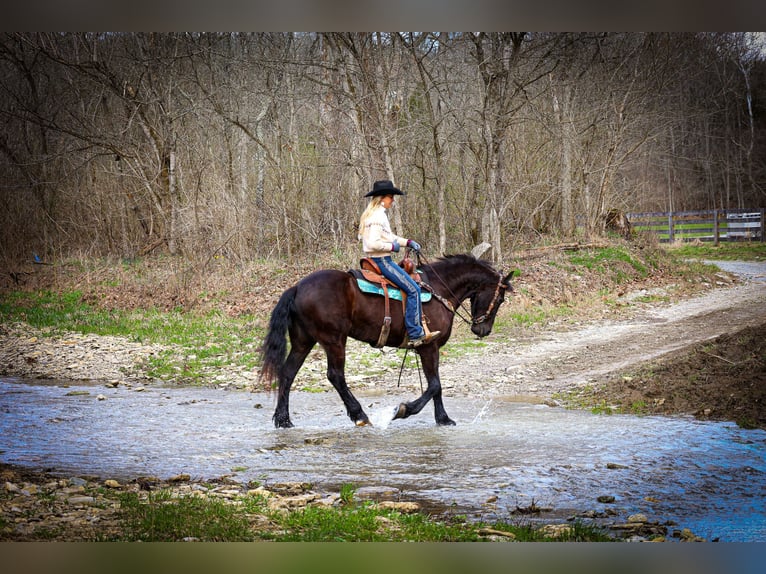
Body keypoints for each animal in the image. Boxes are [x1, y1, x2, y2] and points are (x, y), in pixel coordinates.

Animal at [260, 254, 516, 430]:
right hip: (334, 340)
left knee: (287, 373)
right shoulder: (428, 347)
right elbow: (435, 385)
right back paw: (360, 415)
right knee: (335, 376)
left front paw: (443, 419)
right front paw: (403, 410)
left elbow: (436, 384)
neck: (439, 289)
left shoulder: (429, 349)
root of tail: (298, 287)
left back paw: (284, 420)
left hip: (303, 341)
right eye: (500, 299)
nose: (482, 329)